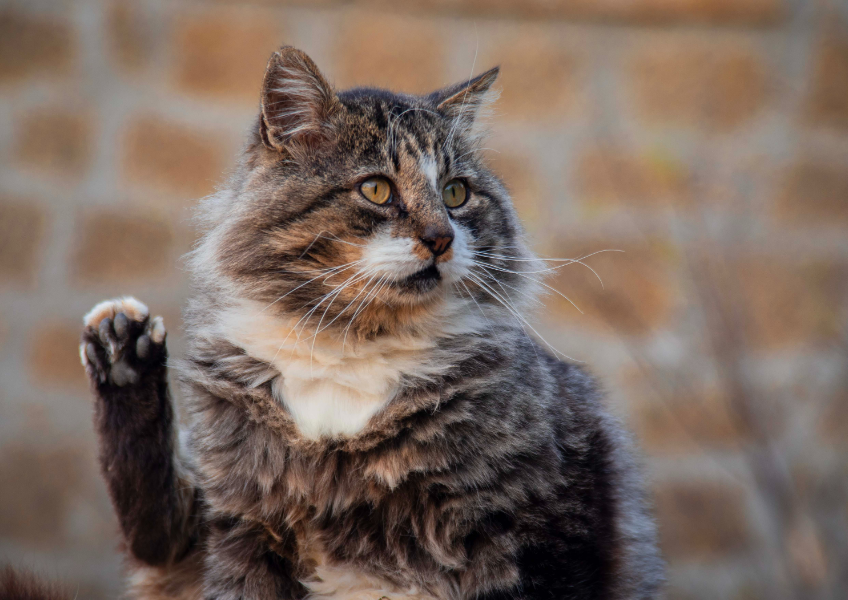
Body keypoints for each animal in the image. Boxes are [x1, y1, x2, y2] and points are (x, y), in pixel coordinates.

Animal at [78, 47, 664, 600]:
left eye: (456, 194)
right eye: (377, 190)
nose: (441, 238)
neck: (351, 344)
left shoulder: (547, 531)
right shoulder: (232, 523)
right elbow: (160, 513)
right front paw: (123, 347)